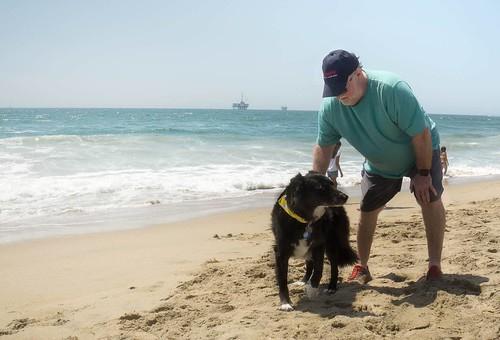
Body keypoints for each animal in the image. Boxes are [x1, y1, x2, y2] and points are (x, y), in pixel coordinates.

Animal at [272, 173, 358, 310]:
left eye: (332, 184)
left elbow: (319, 269)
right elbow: (282, 279)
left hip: (332, 244)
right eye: (320, 188)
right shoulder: (281, 252)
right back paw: (303, 280)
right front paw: (285, 303)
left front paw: (312, 289)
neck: (305, 220)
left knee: (334, 266)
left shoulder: (319, 245)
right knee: (309, 263)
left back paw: (331, 287)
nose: (345, 197)